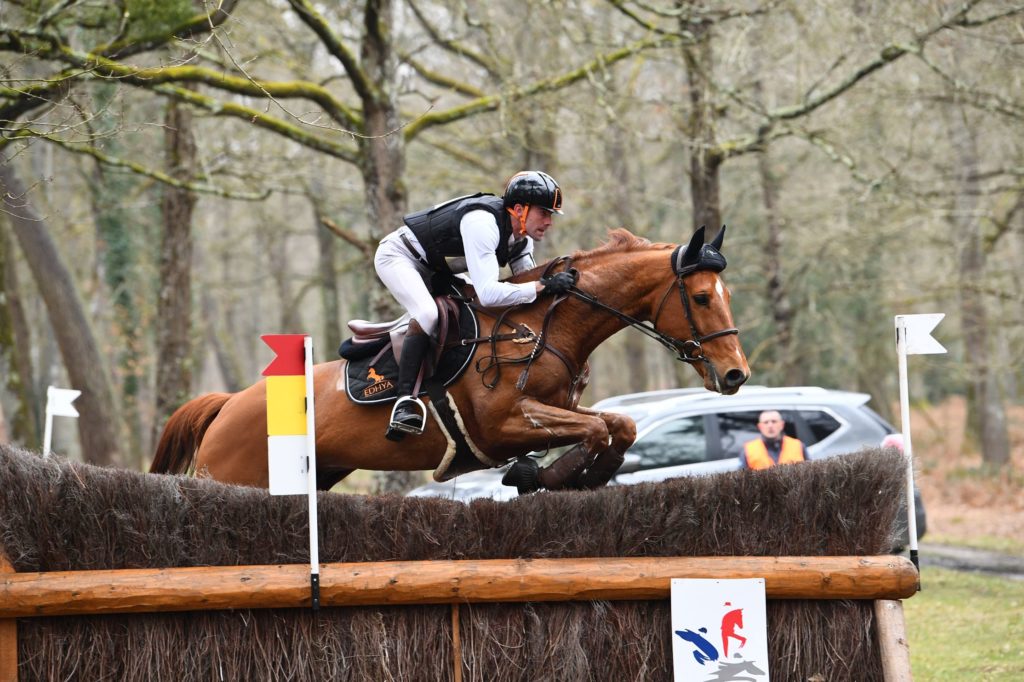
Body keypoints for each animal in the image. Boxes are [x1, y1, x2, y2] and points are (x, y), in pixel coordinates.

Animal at [148, 225, 749, 491]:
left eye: (727, 294)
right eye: (701, 298)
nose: (736, 373)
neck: (543, 325)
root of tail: (228, 405)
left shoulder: (556, 411)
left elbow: (618, 424)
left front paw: (566, 475)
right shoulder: (504, 426)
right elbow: (602, 428)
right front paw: (551, 475)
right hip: (241, 476)